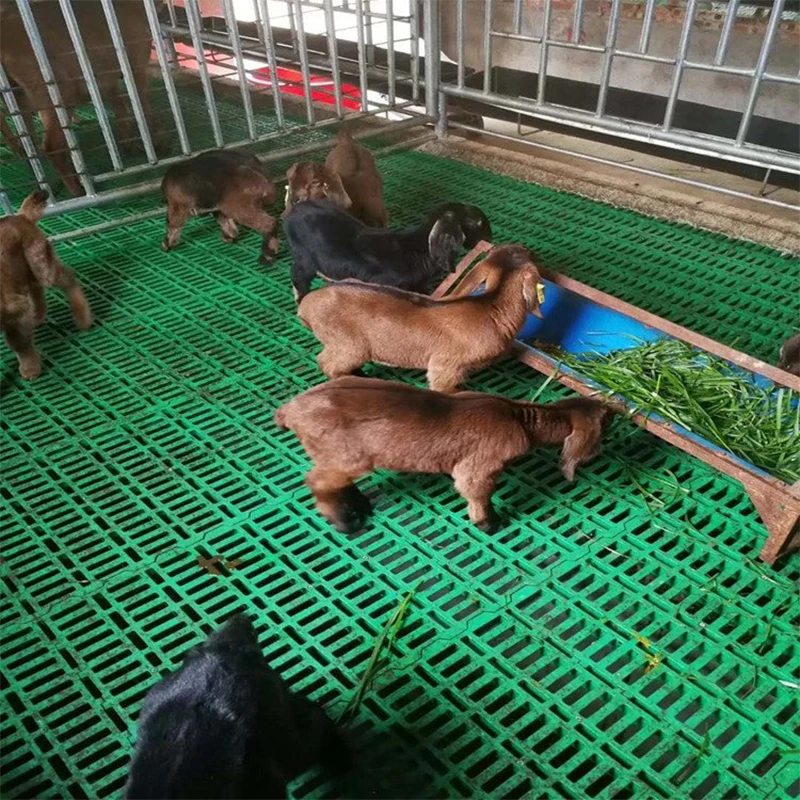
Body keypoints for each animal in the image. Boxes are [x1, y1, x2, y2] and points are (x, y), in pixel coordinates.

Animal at [0, 0, 162, 196]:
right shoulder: (135, 63)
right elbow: (143, 106)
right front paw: (157, 144)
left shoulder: (107, 79)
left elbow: (121, 110)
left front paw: (130, 147)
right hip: (59, 94)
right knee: (51, 146)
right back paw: (78, 189)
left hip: (22, 102)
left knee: (29, 146)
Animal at [0, 190, 93, 380]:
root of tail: (21, 216)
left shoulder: (15, 309)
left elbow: (19, 343)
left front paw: (30, 369)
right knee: (35, 288)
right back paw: (37, 316)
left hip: (41, 264)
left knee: (66, 278)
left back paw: (83, 318)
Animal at [275, 376, 615, 533]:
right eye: (605, 420)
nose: (616, 411)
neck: (520, 419)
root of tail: (288, 410)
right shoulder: (479, 465)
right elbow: (475, 491)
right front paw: (490, 524)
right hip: (343, 455)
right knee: (317, 481)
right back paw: (346, 522)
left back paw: (360, 506)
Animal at [283, 199, 492, 302]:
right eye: (478, 223)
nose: (490, 239)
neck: (416, 251)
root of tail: (292, 211)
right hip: (305, 259)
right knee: (298, 276)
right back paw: (302, 299)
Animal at [297, 244, 543, 392]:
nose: (529, 249)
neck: (489, 307)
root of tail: (305, 306)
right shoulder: (445, 366)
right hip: (348, 345)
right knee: (327, 363)